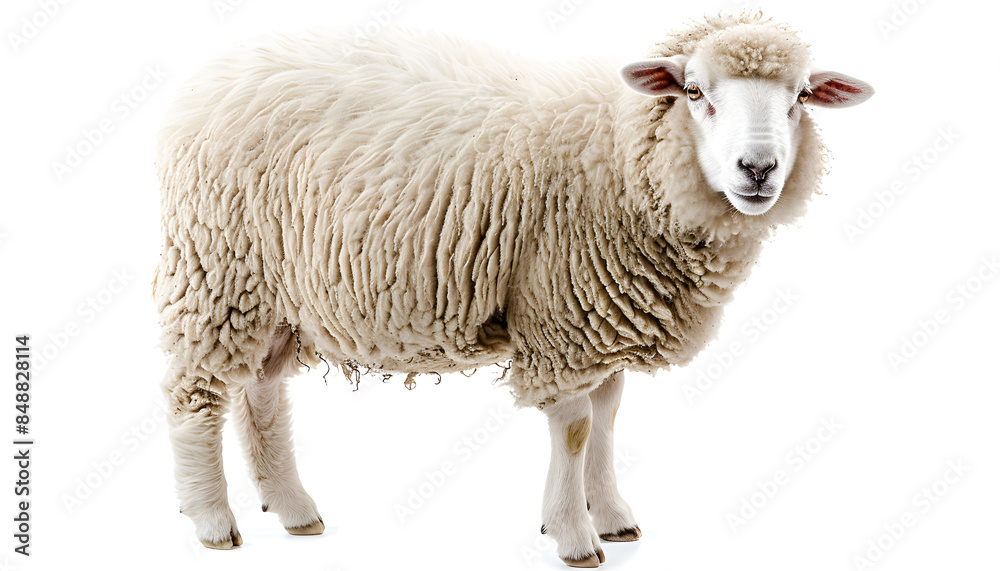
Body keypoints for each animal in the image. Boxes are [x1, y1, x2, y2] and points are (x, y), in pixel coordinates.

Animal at [154, 12, 873, 567]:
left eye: (800, 97)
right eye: (694, 91)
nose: (758, 169)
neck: (620, 156)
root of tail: (214, 76)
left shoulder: (601, 312)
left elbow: (609, 413)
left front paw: (612, 514)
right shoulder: (562, 315)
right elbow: (576, 426)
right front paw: (574, 533)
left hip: (273, 293)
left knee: (262, 391)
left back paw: (295, 508)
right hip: (218, 269)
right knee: (197, 396)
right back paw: (214, 520)